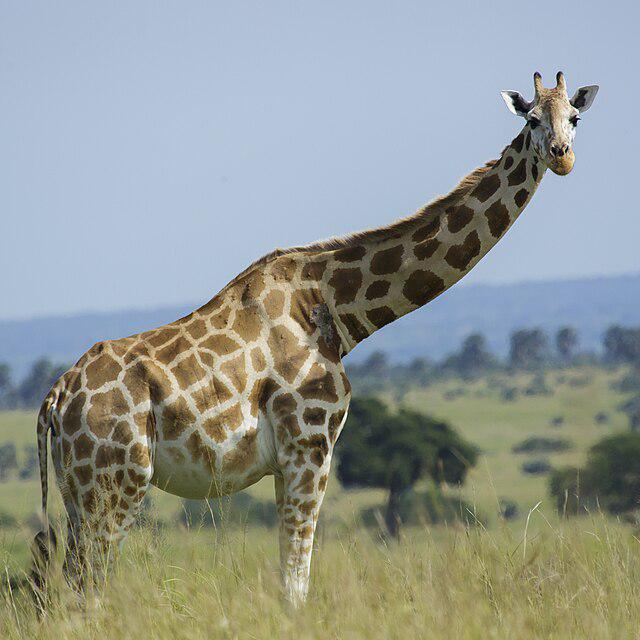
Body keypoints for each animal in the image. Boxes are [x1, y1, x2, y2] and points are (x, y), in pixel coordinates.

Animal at [32, 72, 598, 606]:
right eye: (532, 120)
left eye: (574, 117)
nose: (563, 157)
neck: (336, 309)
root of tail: (55, 399)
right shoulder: (310, 444)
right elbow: (295, 582)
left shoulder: (289, 459)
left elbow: (291, 576)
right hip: (115, 483)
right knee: (87, 587)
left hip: (79, 492)